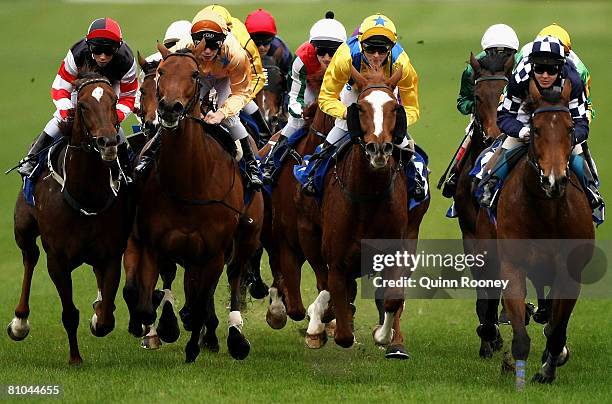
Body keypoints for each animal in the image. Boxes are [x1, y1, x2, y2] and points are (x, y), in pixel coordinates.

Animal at [8, 73, 133, 366]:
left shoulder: (112, 253)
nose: (108, 142)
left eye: (114, 102)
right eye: (84, 106)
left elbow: (106, 318)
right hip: (23, 229)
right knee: (30, 257)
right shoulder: (57, 259)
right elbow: (69, 313)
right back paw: (19, 322)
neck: (86, 195)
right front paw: (75, 358)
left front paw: (98, 316)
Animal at [123, 44, 256, 362]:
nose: (169, 108)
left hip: (246, 235)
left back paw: (234, 336)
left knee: (235, 275)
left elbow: (200, 299)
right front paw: (164, 324)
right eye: (161, 72)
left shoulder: (213, 251)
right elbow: (151, 293)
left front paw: (194, 343)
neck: (191, 182)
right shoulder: (154, 243)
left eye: (194, 74)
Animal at [296, 66, 430, 356]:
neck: (368, 196)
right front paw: (322, 322)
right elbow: (343, 329)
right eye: (361, 108)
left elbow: (391, 299)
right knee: (324, 281)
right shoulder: (336, 258)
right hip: (308, 234)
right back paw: (317, 323)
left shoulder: (395, 251)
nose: (378, 148)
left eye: (394, 108)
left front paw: (382, 334)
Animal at [476, 77, 596, 386]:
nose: (554, 180)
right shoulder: (512, 264)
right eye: (537, 129)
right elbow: (520, 334)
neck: (546, 210)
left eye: (569, 128)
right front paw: (515, 369)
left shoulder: (570, 272)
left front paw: (547, 369)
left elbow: (556, 331)